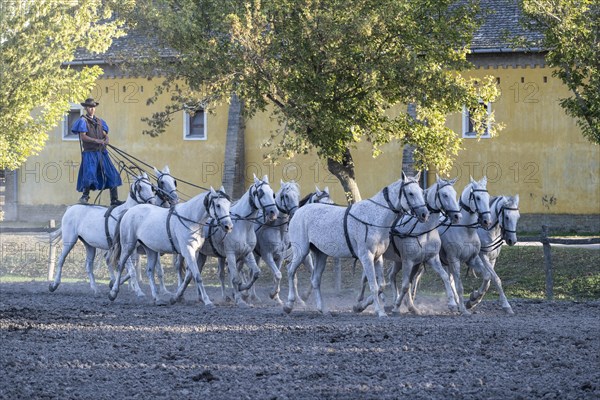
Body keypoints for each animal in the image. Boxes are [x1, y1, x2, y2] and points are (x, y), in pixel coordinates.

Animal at [195, 175, 282, 306]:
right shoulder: (231, 254)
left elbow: (256, 273)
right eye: (260, 193)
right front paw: (240, 299)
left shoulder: (247, 253)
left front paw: (243, 290)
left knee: (209, 272)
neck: (242, 225)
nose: (273, 212)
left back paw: (205, 297)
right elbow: (235, 278)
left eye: (273, 194)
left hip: (205, 255)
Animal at [284, 173, 428, 318]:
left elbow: (381, 285)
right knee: (290, 271)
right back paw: (289, 305)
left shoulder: (378, 257)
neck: (374, 218)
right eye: (410, 193)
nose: (424, 214)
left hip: (321, 254)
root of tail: (298, 212)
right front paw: (380, 311)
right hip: (301, 251)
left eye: (421, 192)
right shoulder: (366, 257)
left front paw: (359, 306)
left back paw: (323, 309)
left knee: (315, 280)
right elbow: (374, 286)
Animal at [382, 177, 462, 314]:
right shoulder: (408, 261)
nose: (457, 216)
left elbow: (445, 276)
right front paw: (397, 307)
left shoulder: (431, 259)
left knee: (391, 275)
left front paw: (452, 303)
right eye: (445, 195)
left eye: (455, 194)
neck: (423, 231)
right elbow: (405, 285)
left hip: (398, 261)